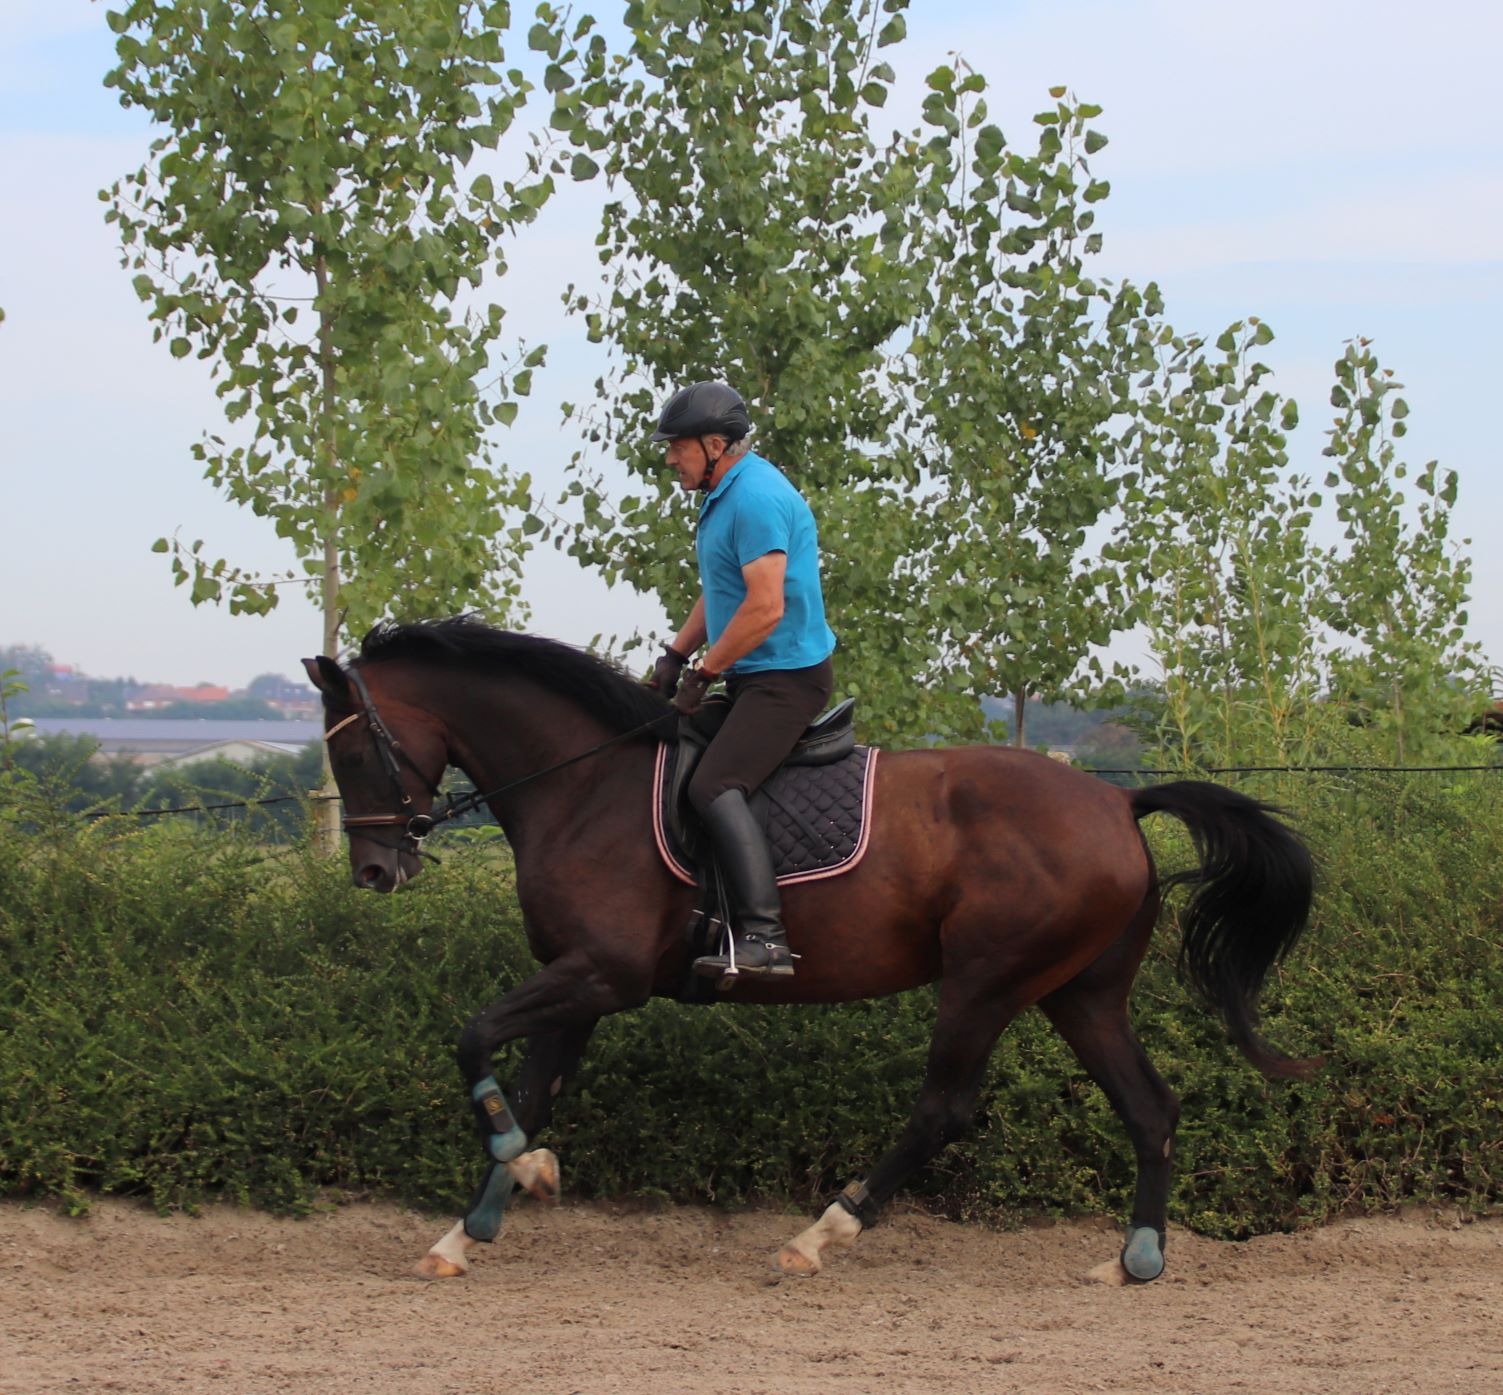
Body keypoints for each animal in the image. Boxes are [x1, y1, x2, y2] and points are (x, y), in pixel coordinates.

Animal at [305, 622, 1316, 1286]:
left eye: (351, 756)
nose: (373, 870)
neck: (583, 782)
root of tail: (1118, 801)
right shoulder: (579, 984)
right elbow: (528, 1089)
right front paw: (476, 1221)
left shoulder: (600, 973)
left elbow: (474, 1040)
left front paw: (520, 1167)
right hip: (1078, 991)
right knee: (1149, 1107)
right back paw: (1136, 1257)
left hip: (986, 979)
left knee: (943, 1110)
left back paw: (821, 1233)